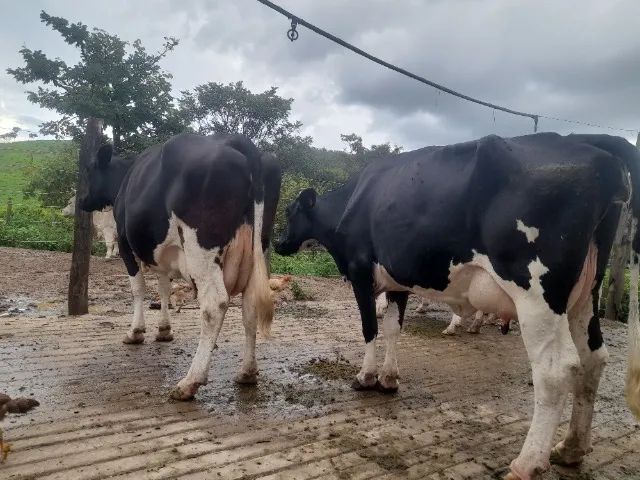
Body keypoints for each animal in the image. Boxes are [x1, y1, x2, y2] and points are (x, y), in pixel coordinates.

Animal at [80, 133, 281, 401]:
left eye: (89, 170)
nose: (82, 201)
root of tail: (235, 140)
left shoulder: (125, 244)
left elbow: (138, 289)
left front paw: (136, 332)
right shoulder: (164, 258)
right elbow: (164, 288)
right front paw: (164, 330)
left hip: (201, 250)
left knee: (214, 304)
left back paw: (190, 381)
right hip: (257, 251)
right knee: (250, 306)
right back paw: (247, 372)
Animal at [274, 132, 640, 480]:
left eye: (291, 212)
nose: (278, 243)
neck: (353, 202)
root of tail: (584, 140)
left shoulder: (361, 272)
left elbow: (369, 329)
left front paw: (365, 377)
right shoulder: (397, 283)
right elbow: (392, 329)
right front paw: (389, 379)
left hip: (537, 293)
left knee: (556, 370)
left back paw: (526, 464)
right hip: (585, 294)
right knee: (594, 359)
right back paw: (571, 447)